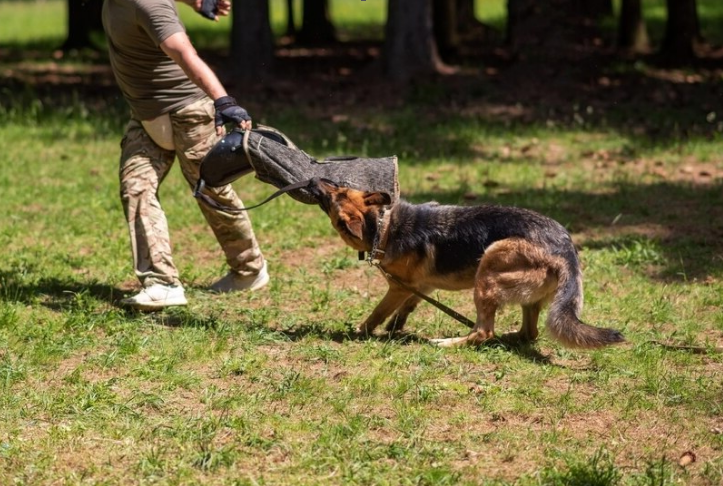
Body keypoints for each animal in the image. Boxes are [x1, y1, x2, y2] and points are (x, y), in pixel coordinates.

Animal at [308, 180, 624, 348]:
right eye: (338, 187)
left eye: (334, 195)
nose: (313, 181)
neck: (384, 226)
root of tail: (566, 248)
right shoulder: (418, 287)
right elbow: (405, 310)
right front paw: (394, 329)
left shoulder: (398, 288)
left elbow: (378, 312)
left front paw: (360, 332)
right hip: (525, 295)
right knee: (527, 333)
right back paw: (509, 337)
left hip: (489, 268)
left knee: (483, 332)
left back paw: (446, 343)